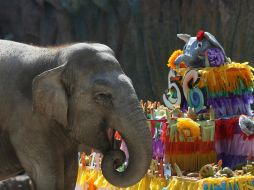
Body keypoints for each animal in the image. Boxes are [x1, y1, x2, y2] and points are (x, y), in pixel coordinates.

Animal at [0, 39, 152, 189]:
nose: (117, 159)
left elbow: (70, 173)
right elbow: (47, 175)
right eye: (102, 95)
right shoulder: (26, 121)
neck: (55, 57)